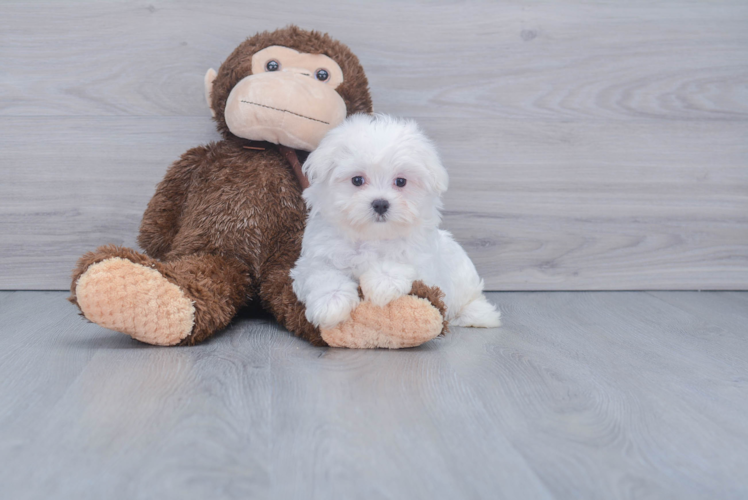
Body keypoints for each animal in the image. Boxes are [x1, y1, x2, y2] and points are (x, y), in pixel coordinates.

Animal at [290, 114, 500, 330]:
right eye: (357, 180)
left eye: (401, 182)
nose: (381, 204)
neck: (373, 236)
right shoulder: (314, 259)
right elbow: (322, 274)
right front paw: (332, 301)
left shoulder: (425, 267)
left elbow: (401, 260)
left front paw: (383, 282)